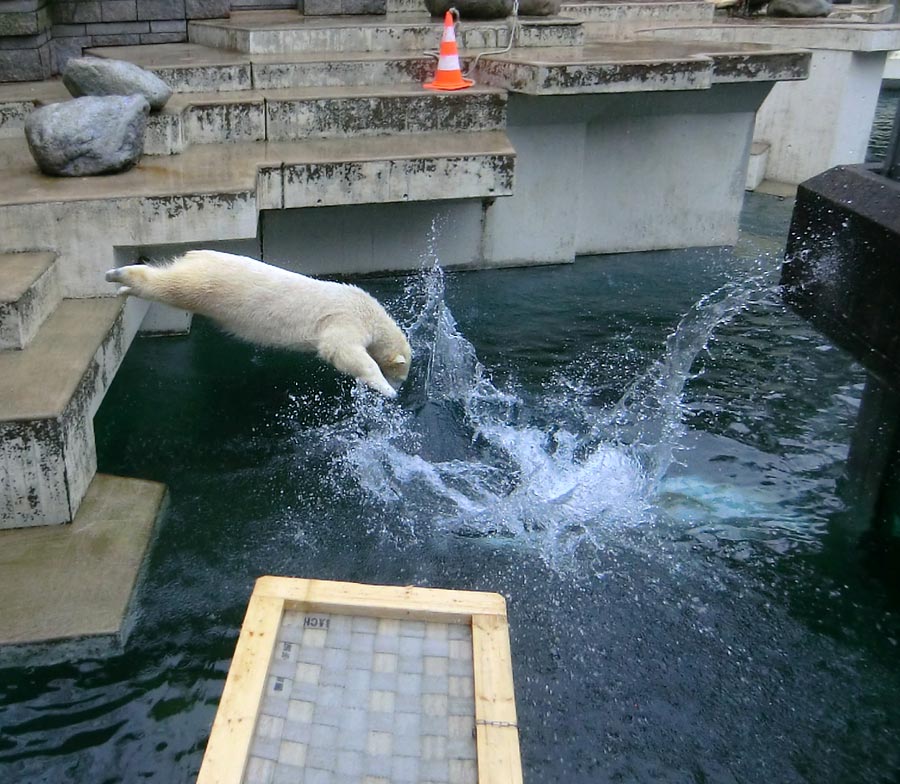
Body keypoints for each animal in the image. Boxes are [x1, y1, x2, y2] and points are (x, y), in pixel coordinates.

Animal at [105, 250, 412, 398]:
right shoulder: (344, 319)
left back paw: (123, 289)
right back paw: (116, 273)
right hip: (207, 284)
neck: (370, 313)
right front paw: (384, 389)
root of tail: (197, 254)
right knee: (169, 286)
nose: (400, 386)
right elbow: (342, 351)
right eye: (401, 372)